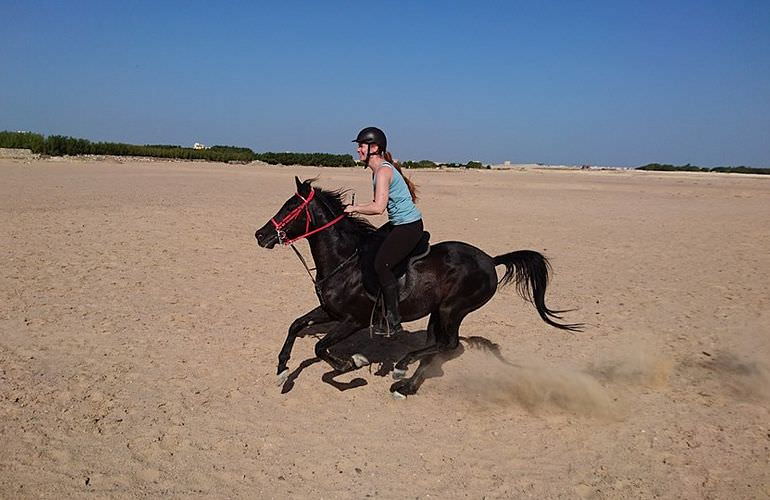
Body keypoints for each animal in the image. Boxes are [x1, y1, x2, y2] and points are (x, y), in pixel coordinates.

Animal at [255, 178, 580, 396]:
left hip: (452, 309)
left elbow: (321, 348)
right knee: (436, 346)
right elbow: (296, 326)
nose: (260, 234)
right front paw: (282, 371)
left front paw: (353, 363)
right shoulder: (330, 311)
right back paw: (406, 385)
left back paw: (402, 366)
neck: (344, 260)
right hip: (439, 311)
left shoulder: (353, 320)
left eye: (291, 207)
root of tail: (490, 259)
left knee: (449, 344)